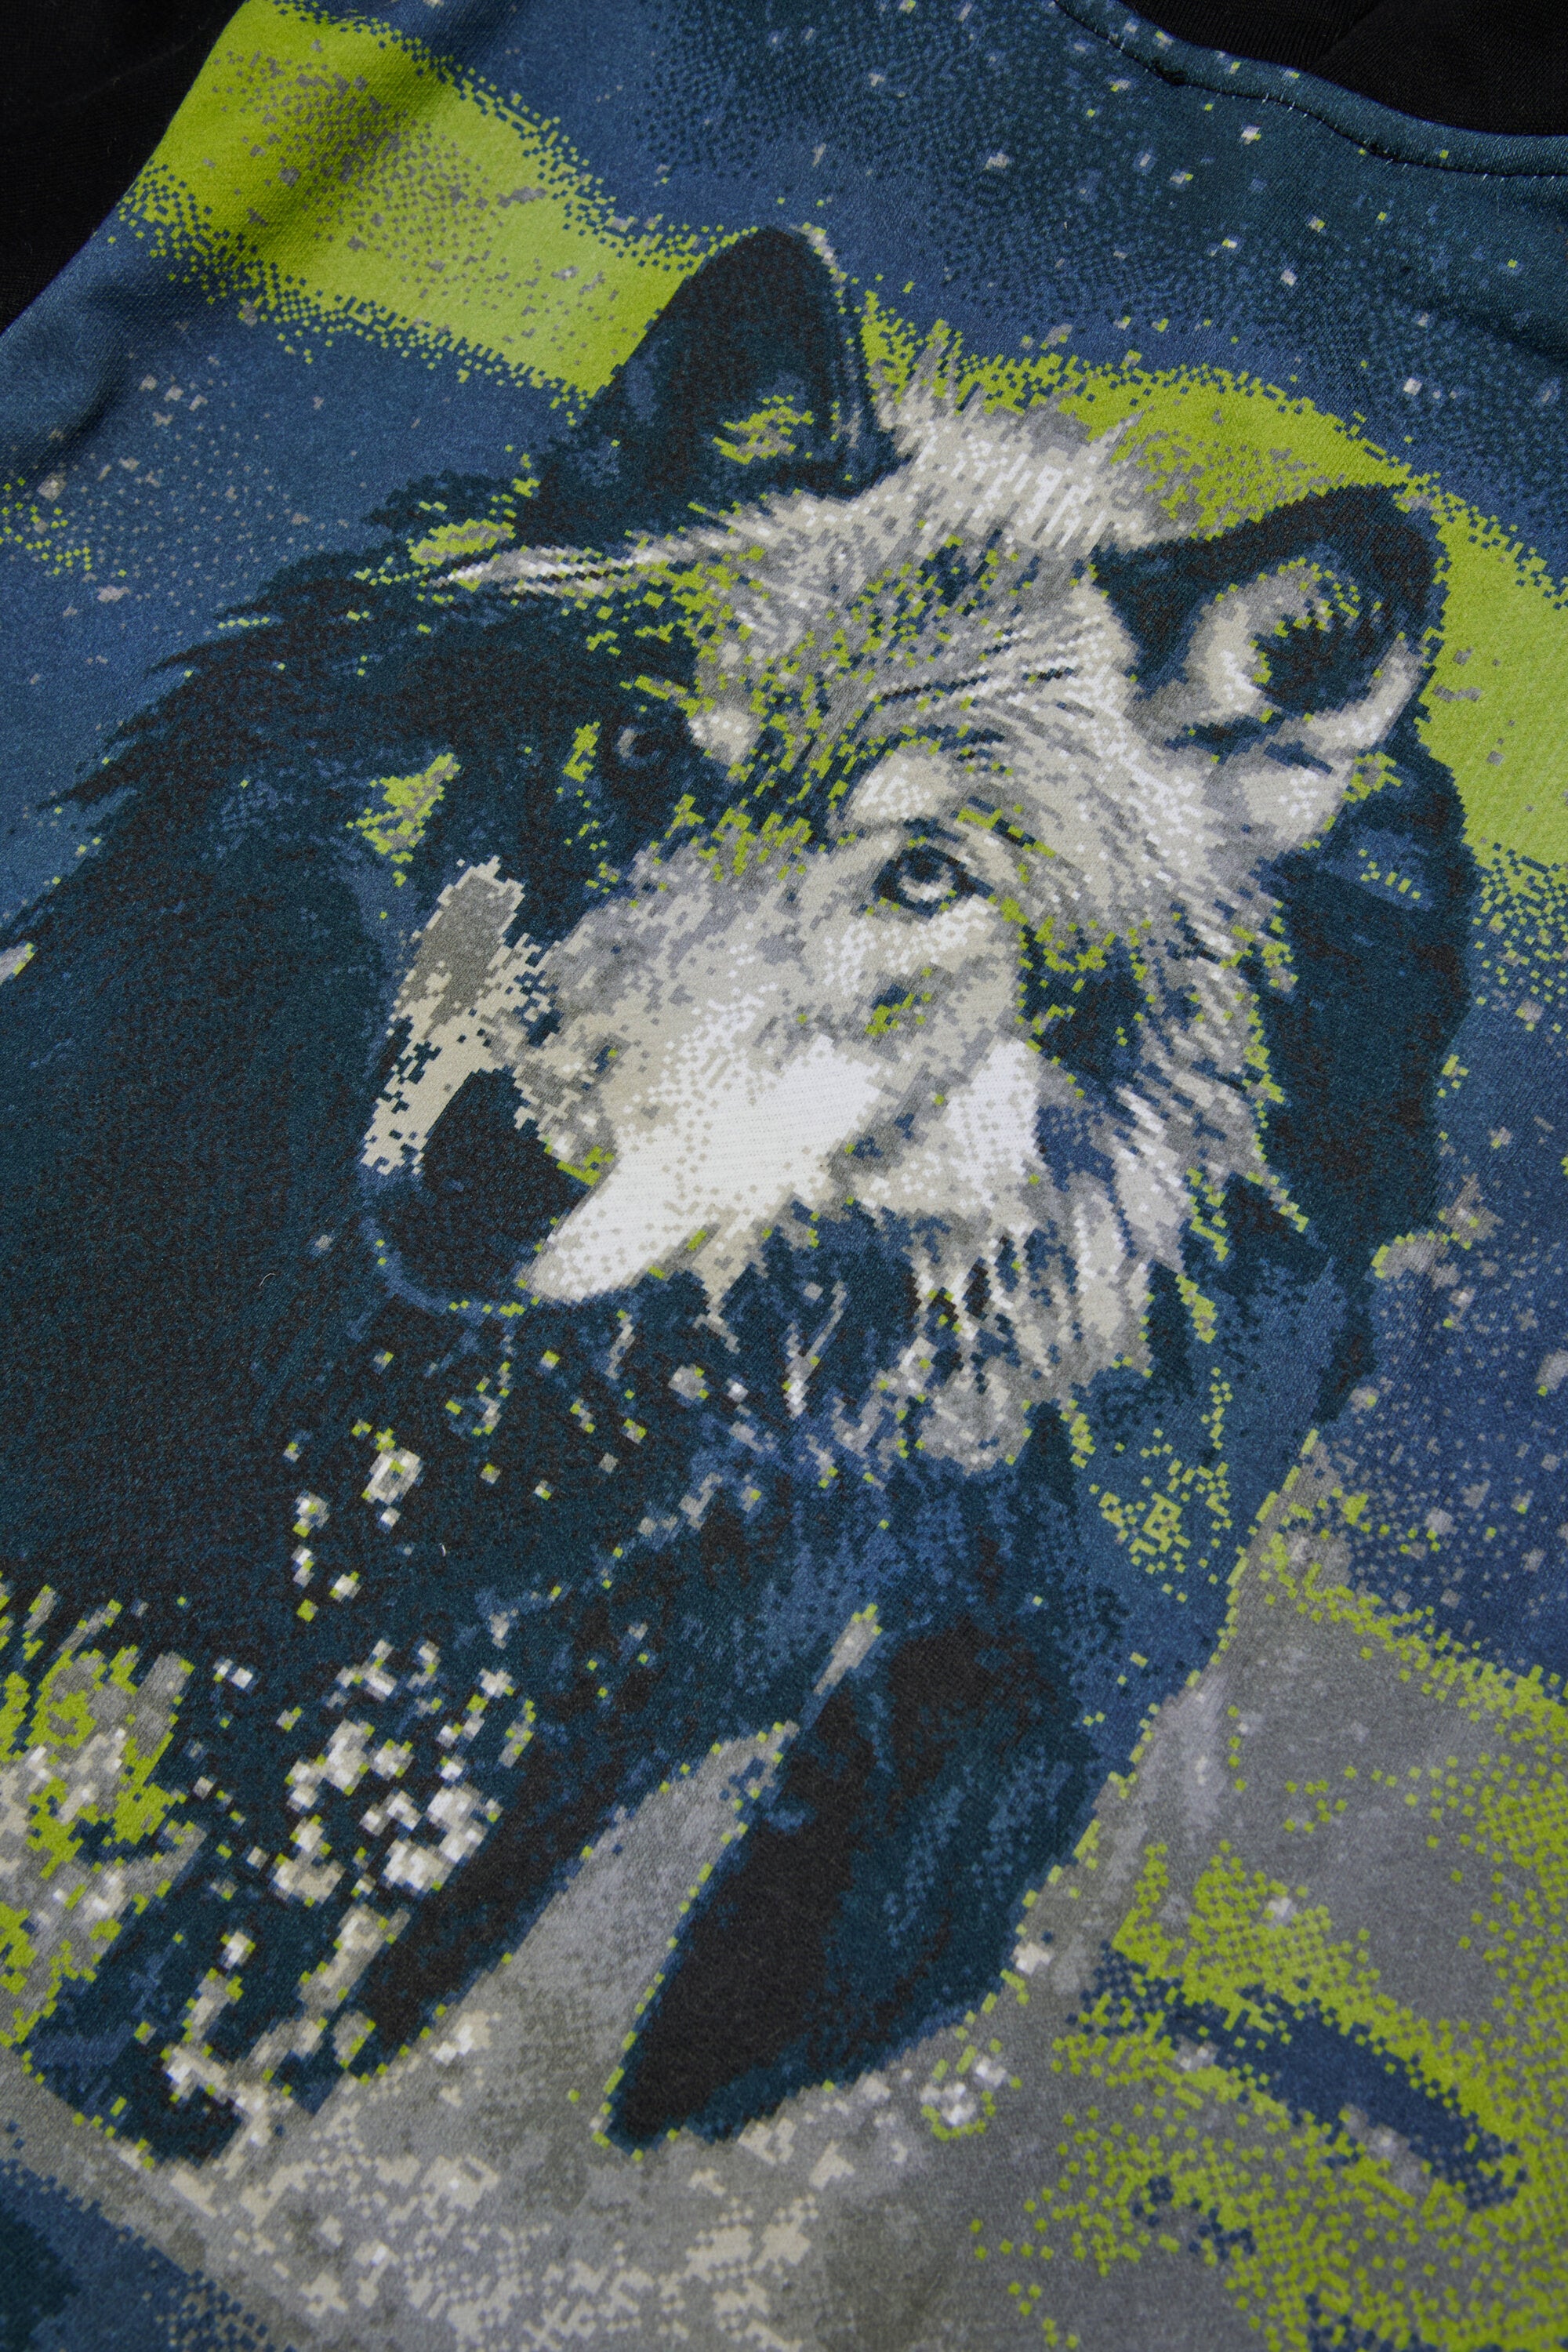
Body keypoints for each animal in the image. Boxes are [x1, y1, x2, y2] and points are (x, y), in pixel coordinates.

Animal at [0, 229, 1472, 2156]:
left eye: (924, 881)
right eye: (635, 751)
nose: (506, 1155)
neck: (382, 1413)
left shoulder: (442, 1737)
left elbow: (199, 2028)